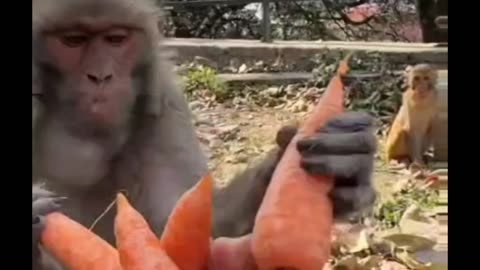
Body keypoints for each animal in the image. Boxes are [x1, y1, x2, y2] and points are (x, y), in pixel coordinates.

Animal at [32, 0, 378, 270]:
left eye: (116, 39)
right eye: (73, 41)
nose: (101, 76)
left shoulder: (166, 100)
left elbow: (179, 229)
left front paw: (344, 163)